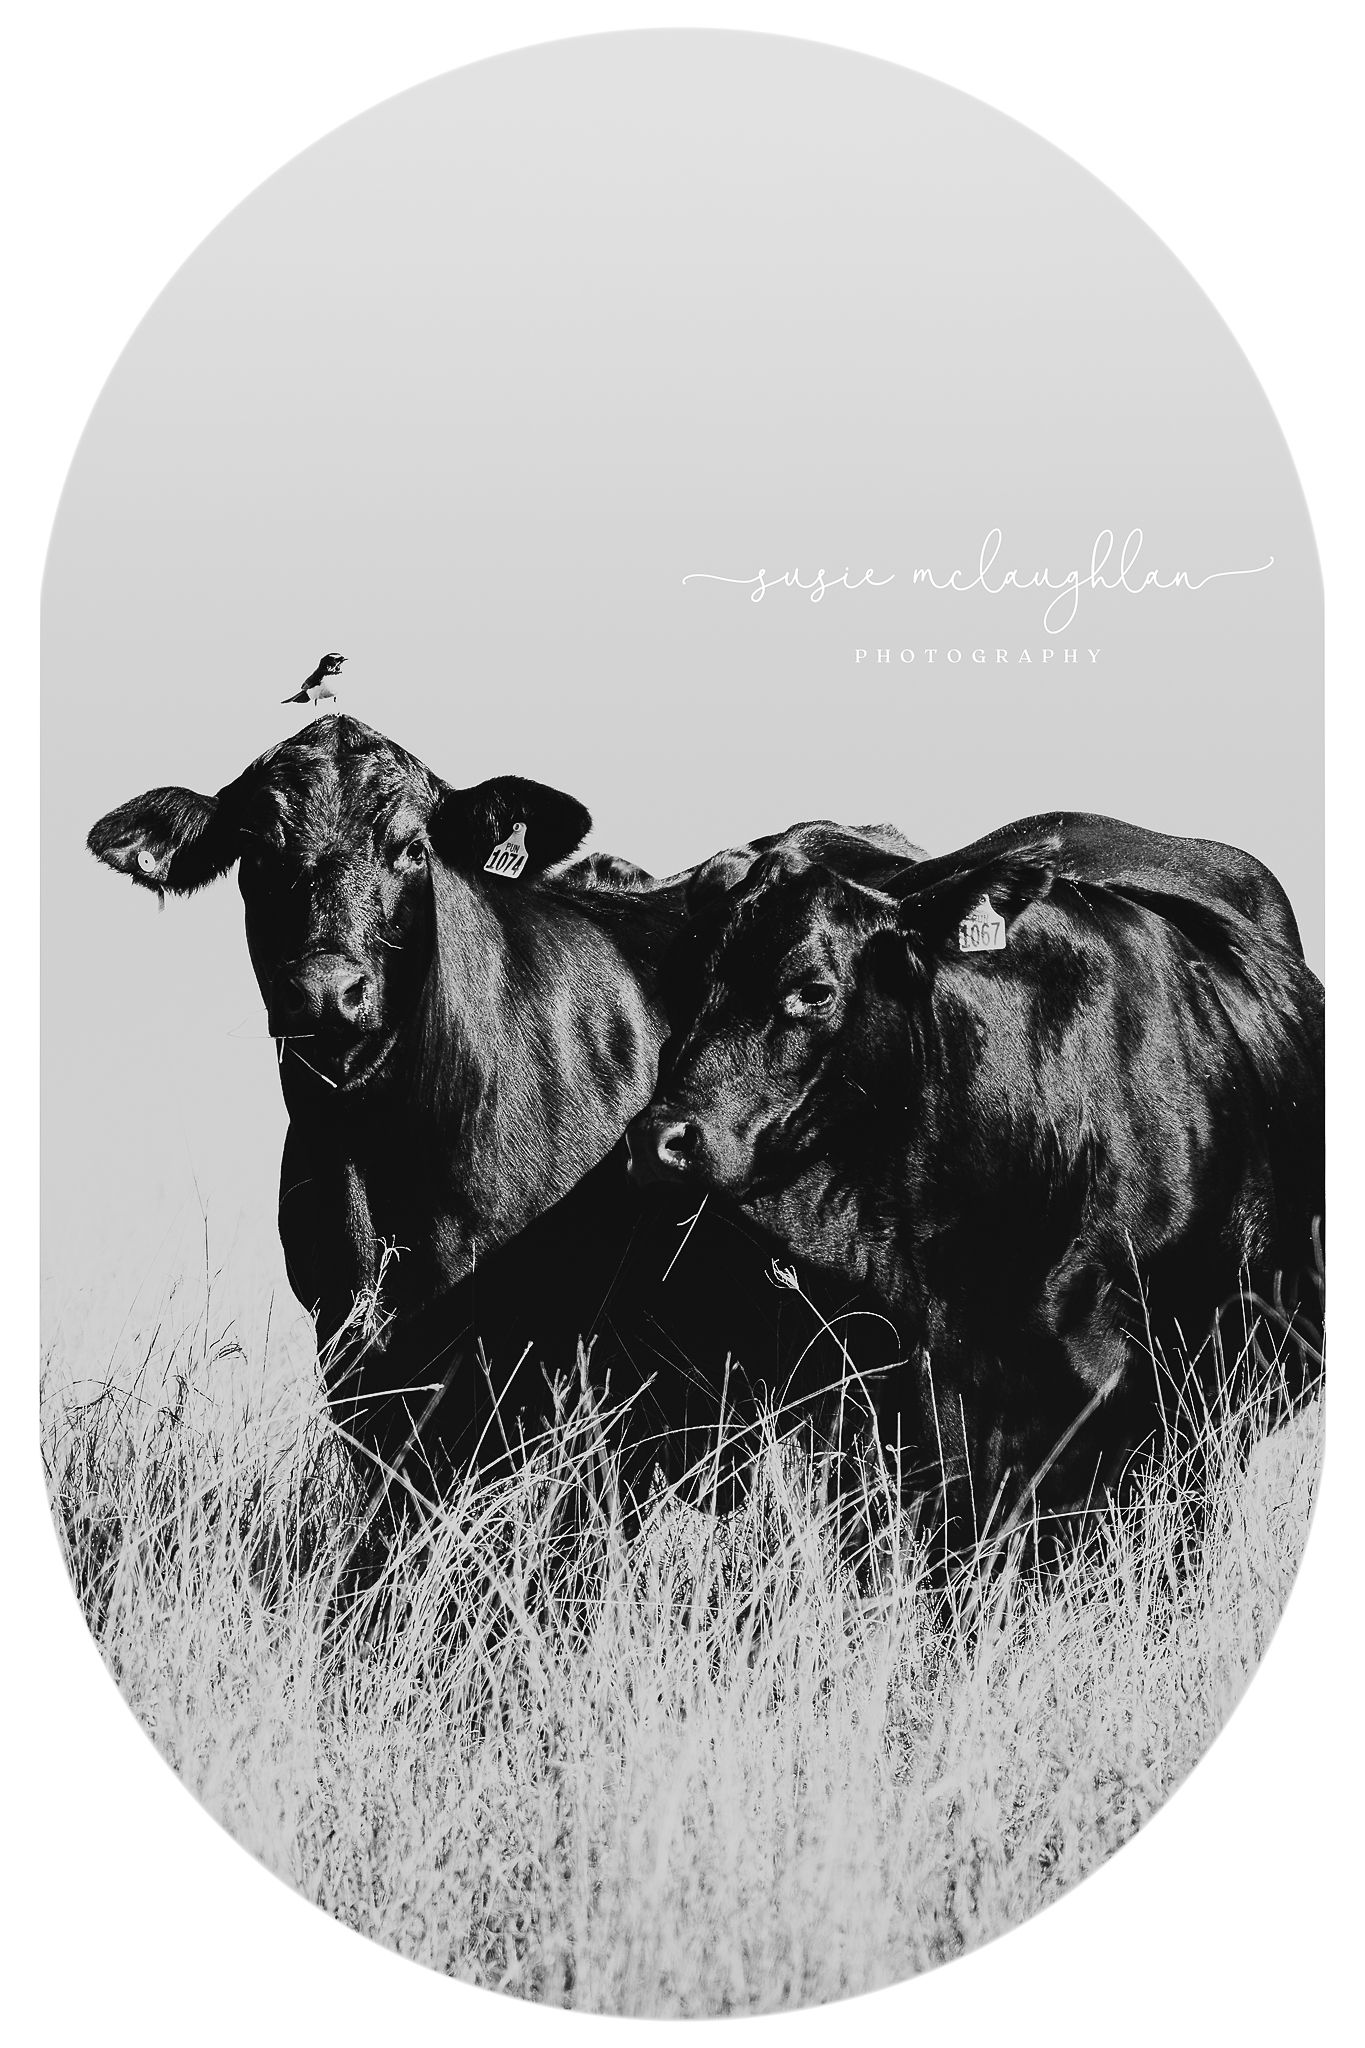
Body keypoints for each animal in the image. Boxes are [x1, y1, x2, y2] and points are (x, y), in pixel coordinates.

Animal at [87, 714, 922, 1524]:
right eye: (258, 853)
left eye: (412, 848)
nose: (326, 991)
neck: (383, 1162)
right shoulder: (356, 1355)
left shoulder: (574, 1373)